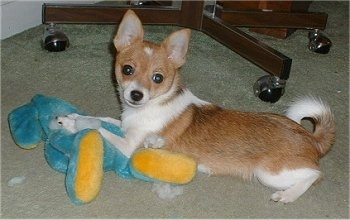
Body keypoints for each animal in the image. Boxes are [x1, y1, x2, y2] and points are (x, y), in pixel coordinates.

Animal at [58, 9, 336, 203]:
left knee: (316, 175)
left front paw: (72, 124)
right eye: (127, 70)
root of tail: (311, 139)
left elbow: (99, 129)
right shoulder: (126, 126)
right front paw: (75, 116)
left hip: (270, 173)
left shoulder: (128, 146)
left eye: (158, 78)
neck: (147, 107)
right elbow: (104, 120)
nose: (136, 95)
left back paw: (288, 195)